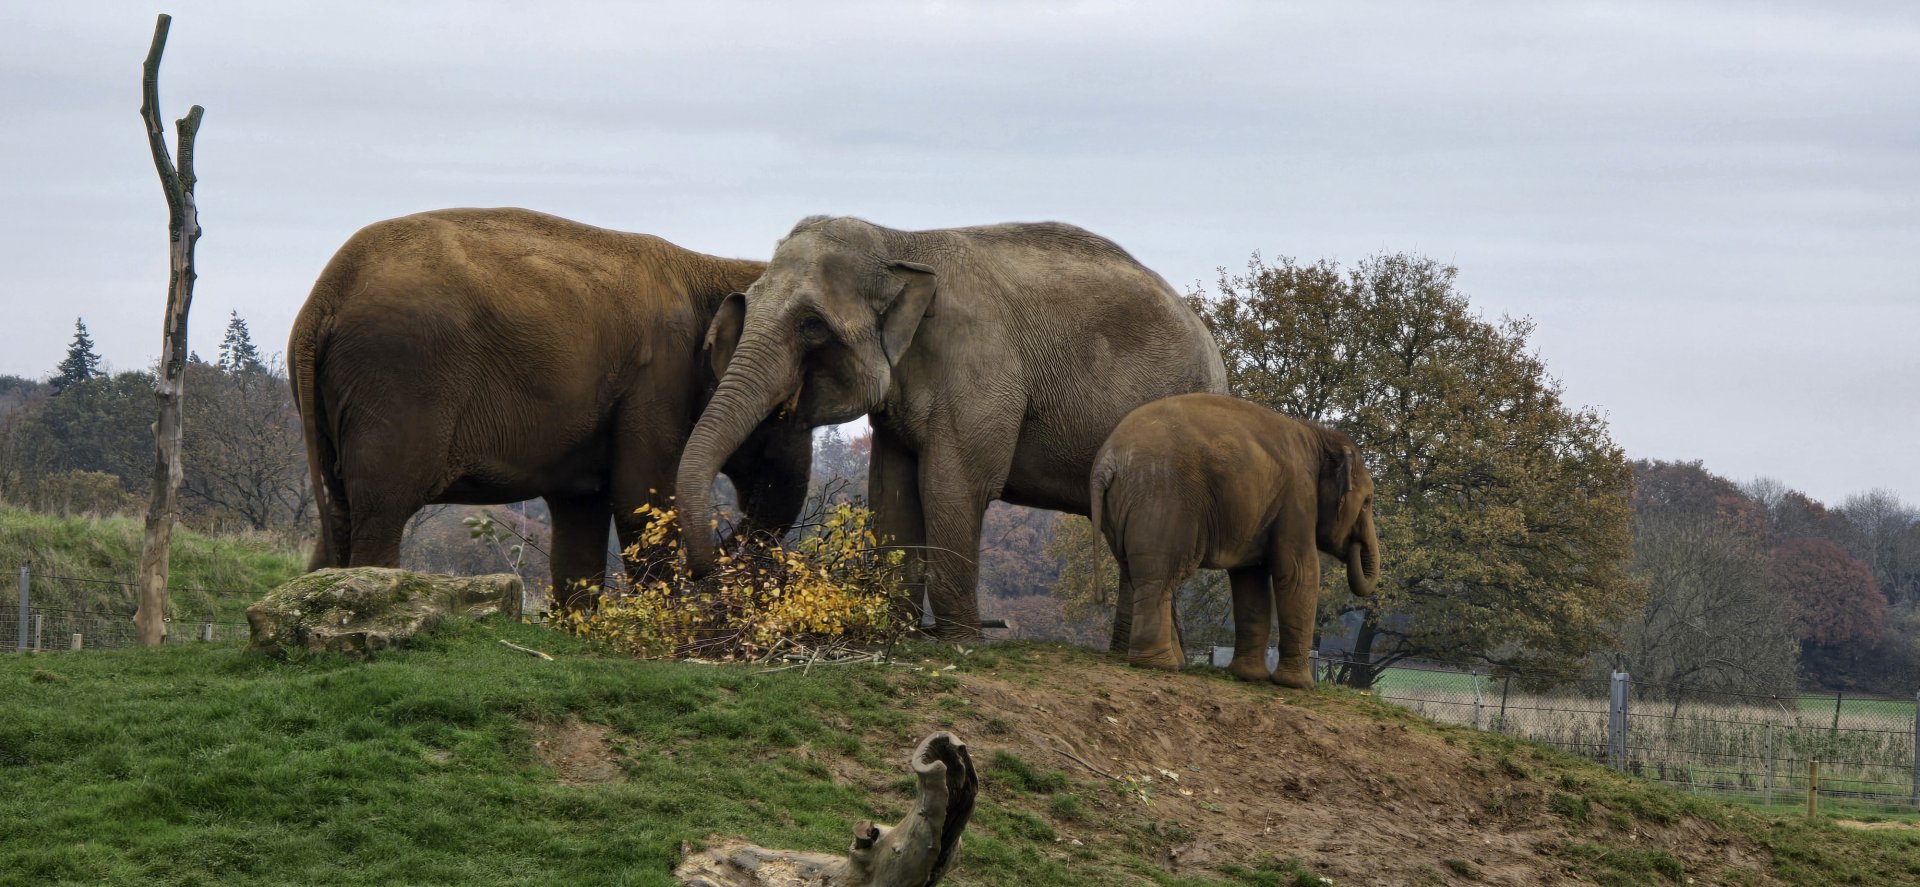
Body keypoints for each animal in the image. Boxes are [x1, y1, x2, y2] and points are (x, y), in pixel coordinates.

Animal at [288, 207, 813, 609]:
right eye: (784, 410)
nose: (715, 570)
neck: (706, 264)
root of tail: (323, 298)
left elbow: (582, 514)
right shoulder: (658, 375)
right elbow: (641, 501)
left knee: (340, 512)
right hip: (397, 378)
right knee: (381, 510)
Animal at [674, 215, 1226, 638]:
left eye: (812, 324)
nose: (707, 568)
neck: (898, 242)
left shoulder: (978, 365)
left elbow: (952, 486)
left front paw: (958, 643)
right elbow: (891, 492)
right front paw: (895, 631)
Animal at [1090, 393, 1380, 688]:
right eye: (1368, 501)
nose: (1356, 544)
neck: (1319, 437)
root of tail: (1106, 461)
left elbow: (1251, 578)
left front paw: (1249, 676)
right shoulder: (1298, 497)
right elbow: (1299, 572)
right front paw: (1299, 685)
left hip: (1121, 511)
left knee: (1142, 577)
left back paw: (1174, 663)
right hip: (1160, 501)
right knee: (1158, 578)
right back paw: (1159, 665)